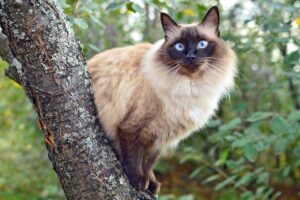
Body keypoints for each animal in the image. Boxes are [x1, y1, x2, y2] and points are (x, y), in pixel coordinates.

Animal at [86, 5, 237, 194]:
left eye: (202, 44)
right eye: (179, 46)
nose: (191, 57)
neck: (190, 87)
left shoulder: (159, 137)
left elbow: (148, 164)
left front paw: (152, 184)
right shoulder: (134, 128)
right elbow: (134, 159)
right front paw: (138, 181)